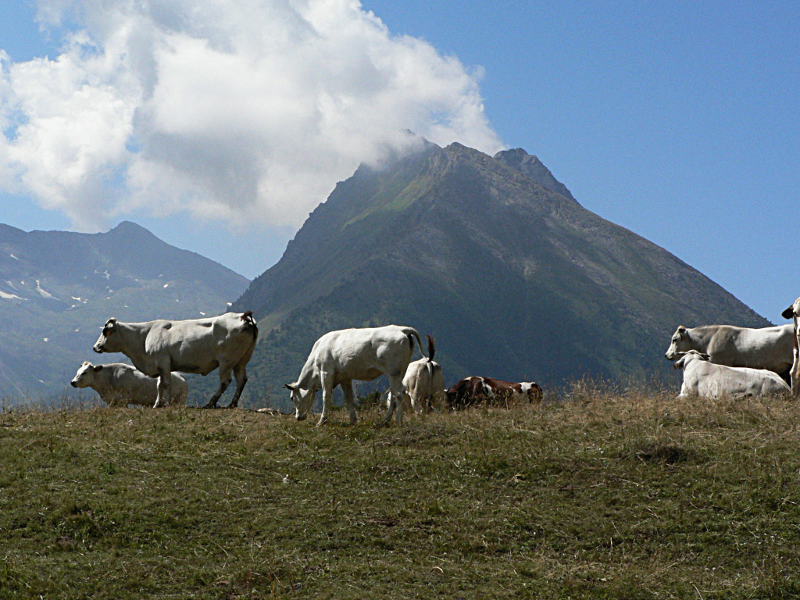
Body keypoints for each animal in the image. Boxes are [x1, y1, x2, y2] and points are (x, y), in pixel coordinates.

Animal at [284, 324, 428, 426]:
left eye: (292, 398)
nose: (298, 417)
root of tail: (402, 329)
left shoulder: (326, 372)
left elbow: (326, 395)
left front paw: (322, 421)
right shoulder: (345, 377)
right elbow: (349, 398)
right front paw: (353, 420)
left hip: (394, 372)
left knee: (398, 394)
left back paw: (398, 422)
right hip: (401, 372)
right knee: (394, 394)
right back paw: (386, 421)